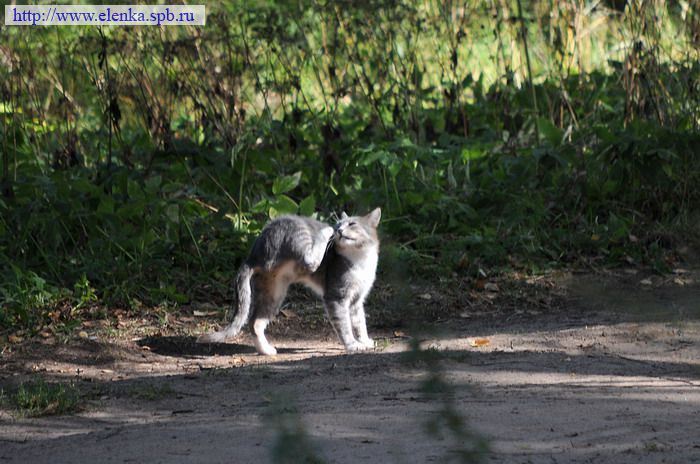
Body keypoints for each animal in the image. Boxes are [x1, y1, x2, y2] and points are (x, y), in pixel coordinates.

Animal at [197, 208, 381, 355]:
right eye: (339, 225)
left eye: (352, 224)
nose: (338, 230)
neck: (360, 259)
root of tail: (253, 255)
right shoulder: (336, 297)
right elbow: (344, 325)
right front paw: (352, 345)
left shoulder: (357, 299)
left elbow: (359, 322)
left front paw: (364, 341)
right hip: (298, 233)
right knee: (310, 261)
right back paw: (325, 231)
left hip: (273, 294)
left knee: (254, 323)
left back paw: (266, 350)